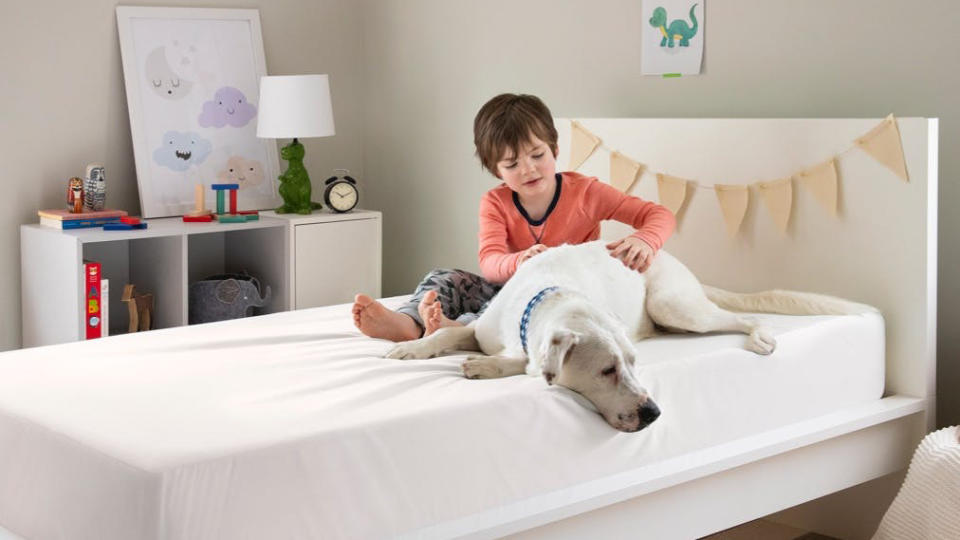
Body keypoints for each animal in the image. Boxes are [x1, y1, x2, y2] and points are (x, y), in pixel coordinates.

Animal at [386, 243, 872, 432]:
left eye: (636, 364)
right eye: (607, 370)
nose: (654, 413)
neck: (545, 297)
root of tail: (676, 261)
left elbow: (523, 364)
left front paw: (485, 366)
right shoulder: (480, 327)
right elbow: (443, 339)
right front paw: (411, 346)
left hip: (675, 306)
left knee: (737, 316)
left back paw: (760, 336)